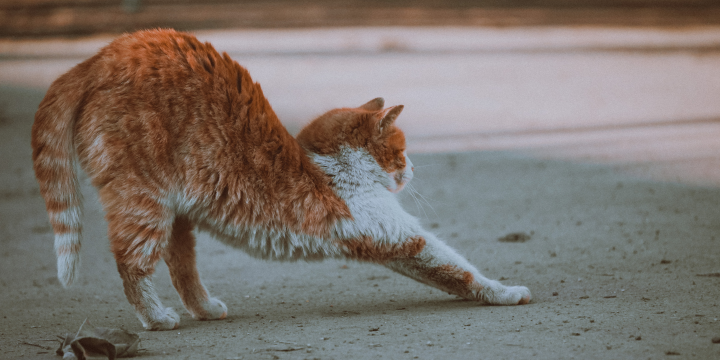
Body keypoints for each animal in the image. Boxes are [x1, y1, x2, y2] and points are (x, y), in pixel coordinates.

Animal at [31, 29, 532, 330]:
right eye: (402, 151)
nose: (410, 171)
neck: (329, 163)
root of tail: (102, 56)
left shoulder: (387, 238)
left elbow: (446, 272)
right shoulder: (393, 233)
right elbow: (457, 270)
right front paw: (506, 292)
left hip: (177, 211)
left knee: (181, 264)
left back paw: (205, 308)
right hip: (145, 201)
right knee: (132, 264)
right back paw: (157, 318)